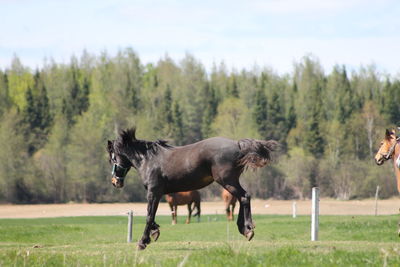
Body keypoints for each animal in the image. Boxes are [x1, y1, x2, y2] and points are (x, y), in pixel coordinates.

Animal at [105, 129, 278, 250]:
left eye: (112, 157)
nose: (115, 182)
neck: (149, 160)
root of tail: (238, 144)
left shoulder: (153, 192)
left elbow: (149, 216)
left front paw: (143, 241)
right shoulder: (159, 195)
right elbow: (152, 215)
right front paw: (154, 232)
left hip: (227, 181)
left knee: (244, 197)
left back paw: (247, 229)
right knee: (242, 199)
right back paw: (244, 228)